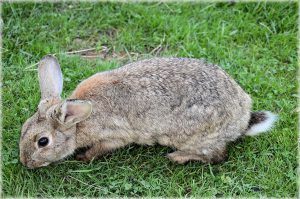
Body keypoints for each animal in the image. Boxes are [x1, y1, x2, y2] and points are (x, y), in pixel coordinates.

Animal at [18, 54, 276, 168]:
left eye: (43, 142)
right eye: (23, 129)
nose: (25, 163)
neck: (79, 122)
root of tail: (243, 119)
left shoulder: (114, 136)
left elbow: (100, 149)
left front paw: (83, 157)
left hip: (198, 136)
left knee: (217, 156)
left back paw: (177, 157)